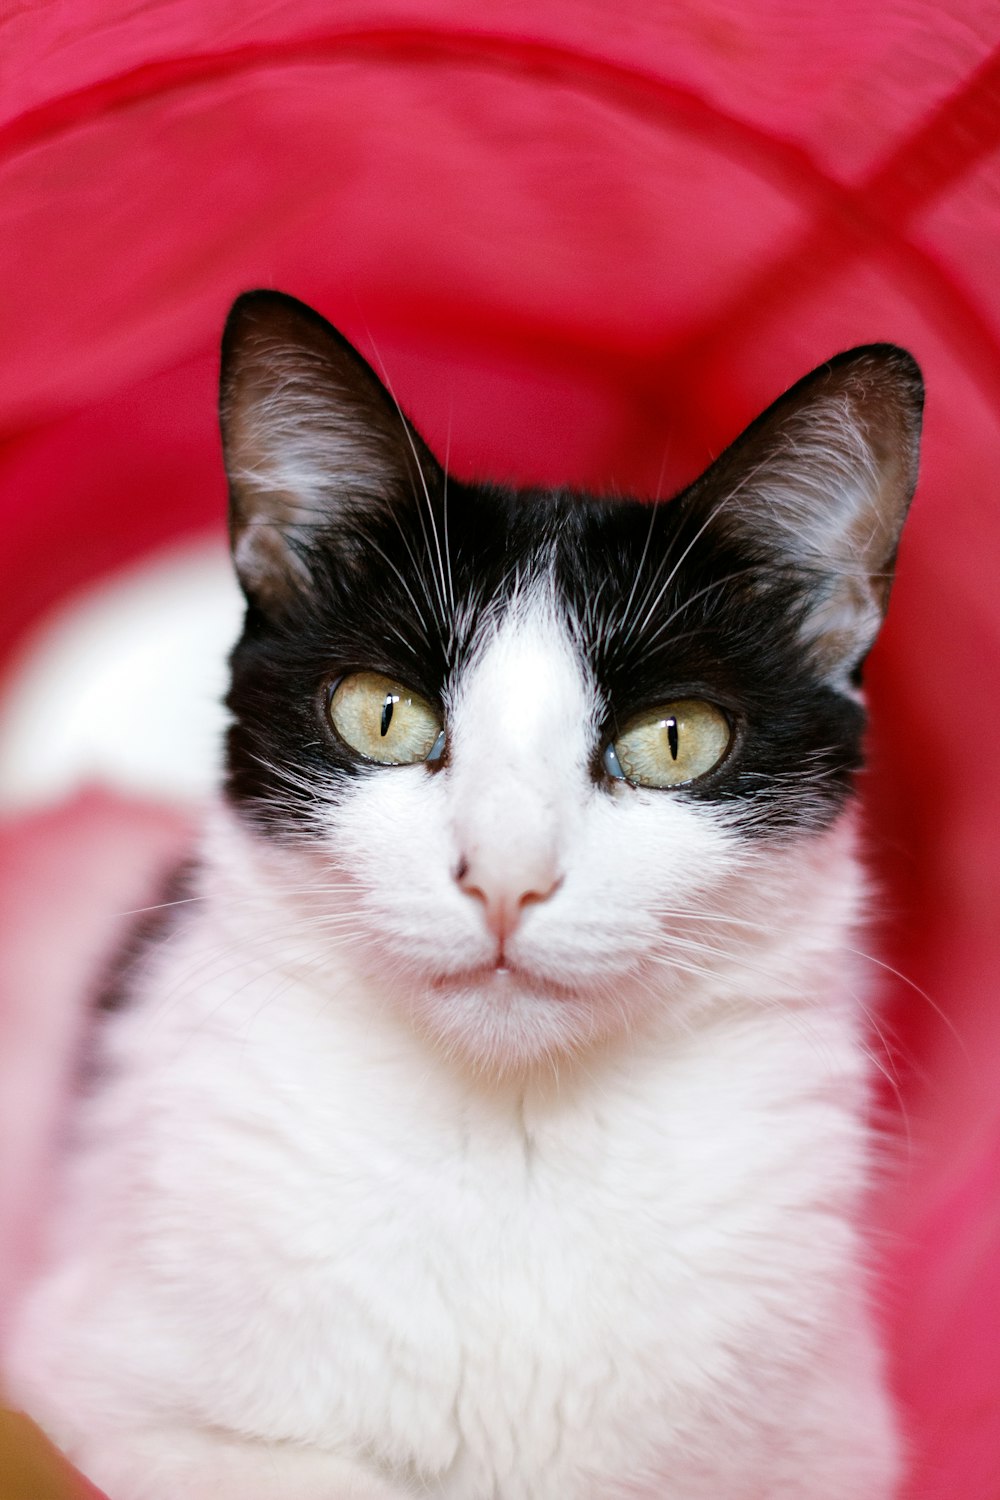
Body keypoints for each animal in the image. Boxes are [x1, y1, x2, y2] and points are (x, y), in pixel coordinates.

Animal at [5, 292, 923, 1500]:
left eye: (674, 739)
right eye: (383, 715)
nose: (505, 875)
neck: (512, 1147)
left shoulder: (835, 1440)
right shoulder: (99, 1385)